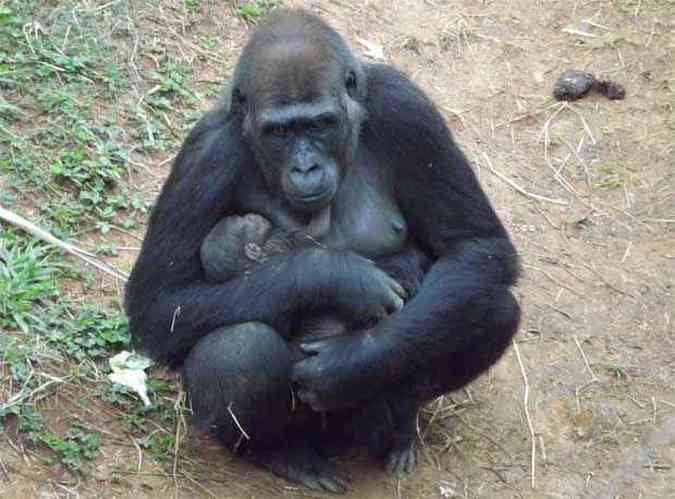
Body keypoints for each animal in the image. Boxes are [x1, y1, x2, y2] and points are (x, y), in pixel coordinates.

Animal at [124, 7, 520, 492]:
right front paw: (335, 276)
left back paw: (402, 426)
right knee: (238, 349)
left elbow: (476, 247)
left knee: (489, 306)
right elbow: (161, 305)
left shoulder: (406, 107)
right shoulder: (207, 151)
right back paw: (281, 453)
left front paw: (351, 362)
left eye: (319, 123)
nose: (306, 167)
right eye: (279, 132)